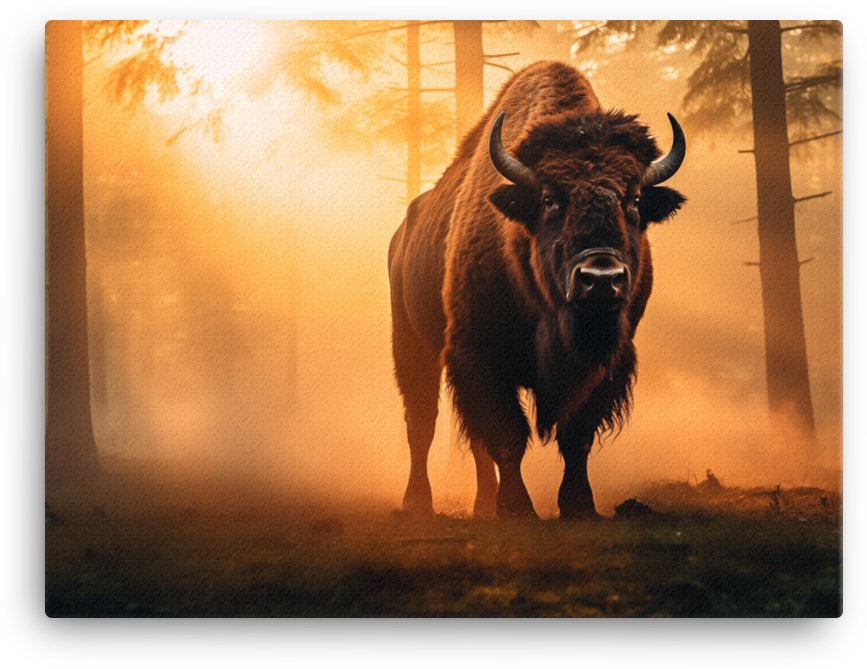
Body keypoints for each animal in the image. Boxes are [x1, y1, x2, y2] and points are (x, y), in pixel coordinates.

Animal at [388, 61, 686, 519]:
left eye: (634, 200)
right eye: (549, 200)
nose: (601, 278)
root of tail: (403, 233)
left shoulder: (606, 360)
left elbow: (576, 435)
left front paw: (579, 506)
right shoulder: (478, 354)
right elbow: (508, 437)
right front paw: (517, 509)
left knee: (472, 442)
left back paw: (482, 505)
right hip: (411, 346)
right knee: (421, 423)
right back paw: (418, 502)